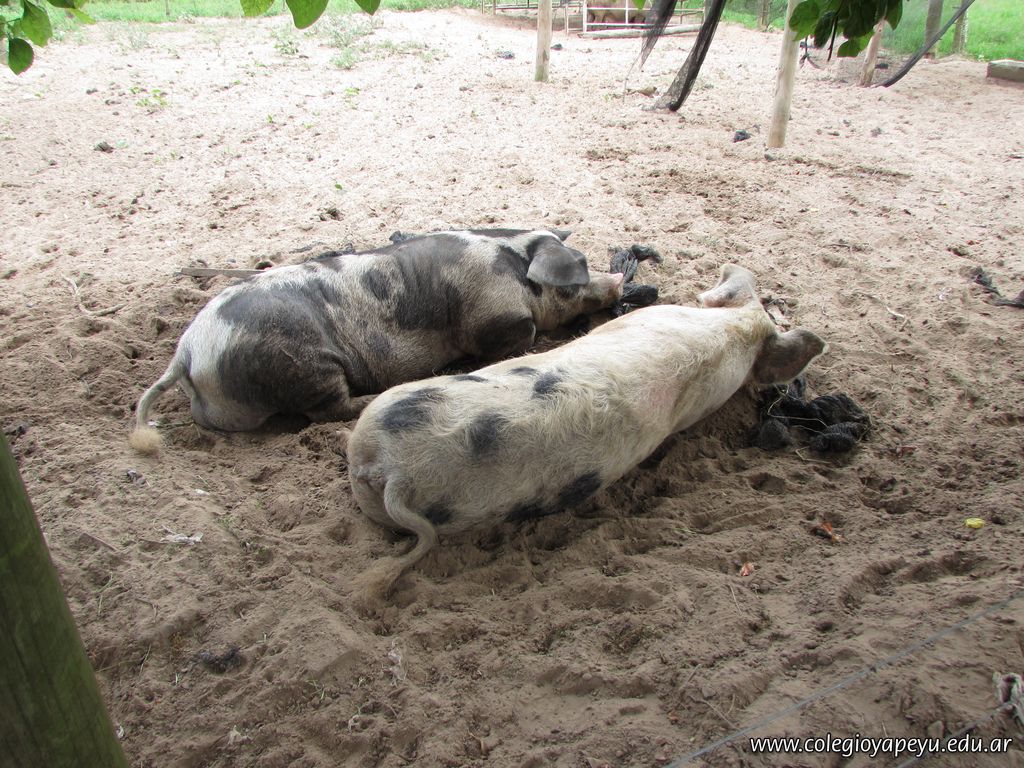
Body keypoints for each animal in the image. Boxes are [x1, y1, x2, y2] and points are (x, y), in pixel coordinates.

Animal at [129, 229, 627, 454]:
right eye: (578, 273)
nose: (619, 279)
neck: (512, 262)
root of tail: (188, 351)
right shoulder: (495, 318)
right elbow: (518, 336)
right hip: (307, 364)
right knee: (326, 410)